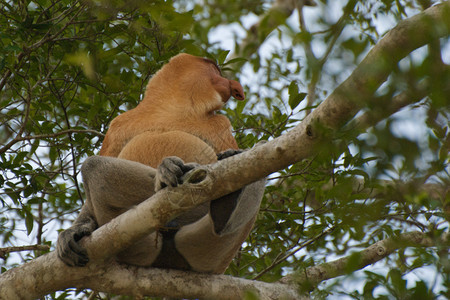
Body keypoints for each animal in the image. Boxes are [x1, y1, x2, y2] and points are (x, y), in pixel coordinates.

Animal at [57, 52, 266, 274]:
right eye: (215, 70)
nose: (234, 87)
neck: (170, 109)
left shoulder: (220, 125)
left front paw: (230, 154)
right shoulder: (118, 126)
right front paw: (74, 232)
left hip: (217, 257)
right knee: (94, 168)